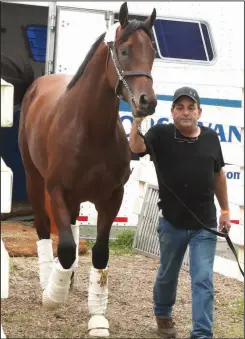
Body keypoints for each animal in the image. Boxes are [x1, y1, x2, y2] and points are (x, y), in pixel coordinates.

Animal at [18, 1, 157, 338]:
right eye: (124, 50)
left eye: (153, 52)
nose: (147, 101)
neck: (90, 128)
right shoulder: (56, 189)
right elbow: (66, 247)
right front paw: (53, 295)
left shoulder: (111, 198)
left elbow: (99, 252)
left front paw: (97, 317)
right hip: (34, 180)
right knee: (45, 230)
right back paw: (49, 281)